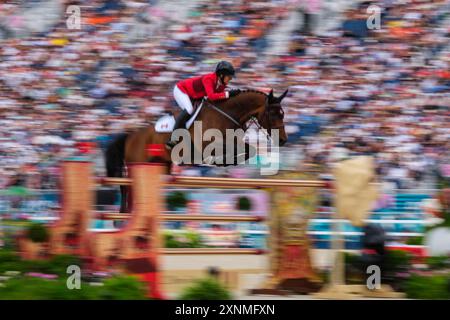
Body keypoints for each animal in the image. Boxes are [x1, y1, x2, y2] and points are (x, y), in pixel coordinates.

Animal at [104, 88, 288, 212]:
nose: (283, 140)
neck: (227, 114)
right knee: (127, 186)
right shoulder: (208, 145)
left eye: (283, 114)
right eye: (273, 114)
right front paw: (219, 162)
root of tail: (130, 136)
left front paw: (227, 163)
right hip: (137, 164)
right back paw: (123, 215)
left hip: (158, 166)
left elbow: (250, 150)